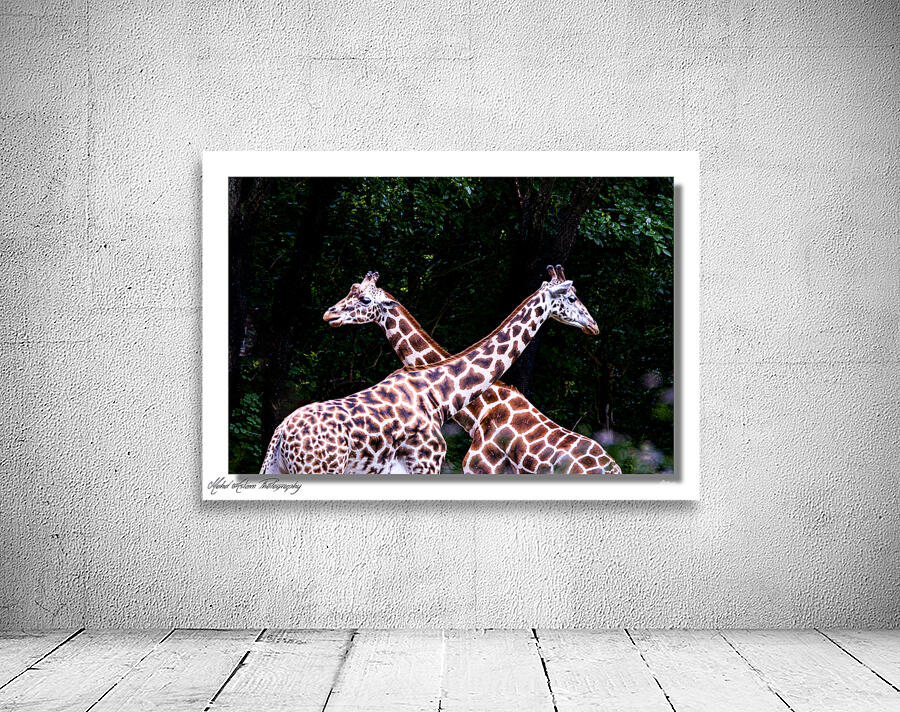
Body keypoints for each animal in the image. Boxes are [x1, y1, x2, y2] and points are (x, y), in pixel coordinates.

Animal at [260, 268, 600, 475]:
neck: (441, 392)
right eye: (572, 297)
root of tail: (280, 436)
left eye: (363, 297)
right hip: (320, 468)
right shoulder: (430, 463)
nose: (593, 324)